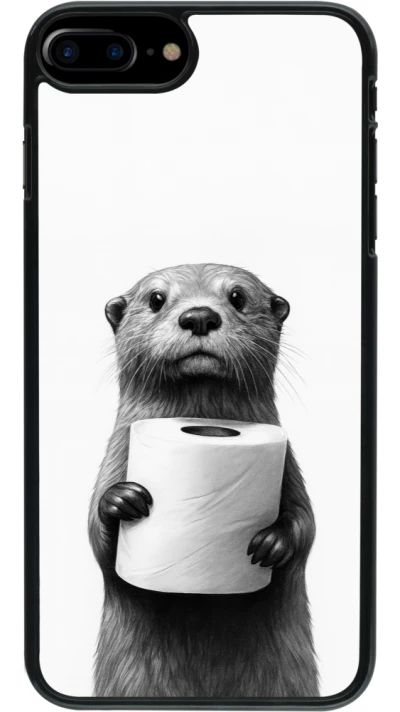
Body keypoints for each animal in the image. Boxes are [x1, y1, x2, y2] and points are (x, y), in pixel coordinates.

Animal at [88, 263, 318, 698]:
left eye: (238, 297)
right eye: (156, 299)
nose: (199, 316)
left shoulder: (290, 469)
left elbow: (307, 524)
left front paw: (273, 542)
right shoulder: (114, 458)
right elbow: (96, 538)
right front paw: (121, 501)